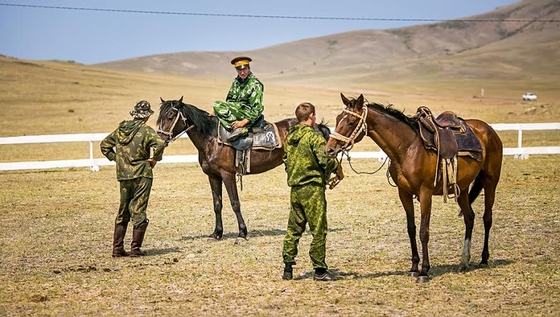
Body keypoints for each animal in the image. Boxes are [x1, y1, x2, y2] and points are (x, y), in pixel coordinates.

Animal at [156, 96, 332, 239]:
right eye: (159, 117)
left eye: (170, 116)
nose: (160, 138)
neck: (211, 138)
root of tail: (317, 126)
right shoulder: (213, 176)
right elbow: (217, 204)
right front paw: (217, 233)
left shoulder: (227, 174)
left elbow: (235, 203)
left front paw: (242, 232)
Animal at [324, 93, 504, 282]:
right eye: (338, 119)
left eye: (351, 122)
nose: (329, 149)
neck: (408, 148)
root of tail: (488, 130)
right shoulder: (404, 193)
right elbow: (411, 229)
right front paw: (413, 267)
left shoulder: (425, 193)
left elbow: (424, 231)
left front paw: (424, 271)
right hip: (461, 188)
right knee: (469, 218)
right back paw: (464, 261)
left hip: (490, 182)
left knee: (487, 218)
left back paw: (484, 259)